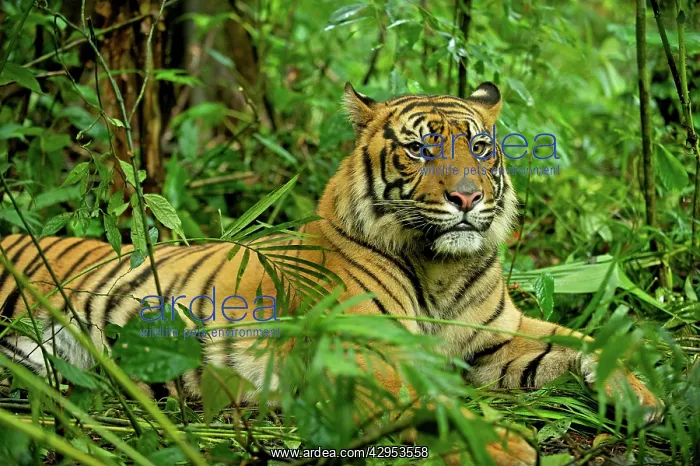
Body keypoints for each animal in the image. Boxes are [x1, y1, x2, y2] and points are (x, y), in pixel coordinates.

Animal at [0, 82, 662, 465]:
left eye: (478, 147)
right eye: (419, 149)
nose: (467, 198)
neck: (441, 269)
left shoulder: (495, 335)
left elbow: (588, 338)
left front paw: (646, 396)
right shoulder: (363, 354)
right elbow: (433, 400)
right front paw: (503, 447)